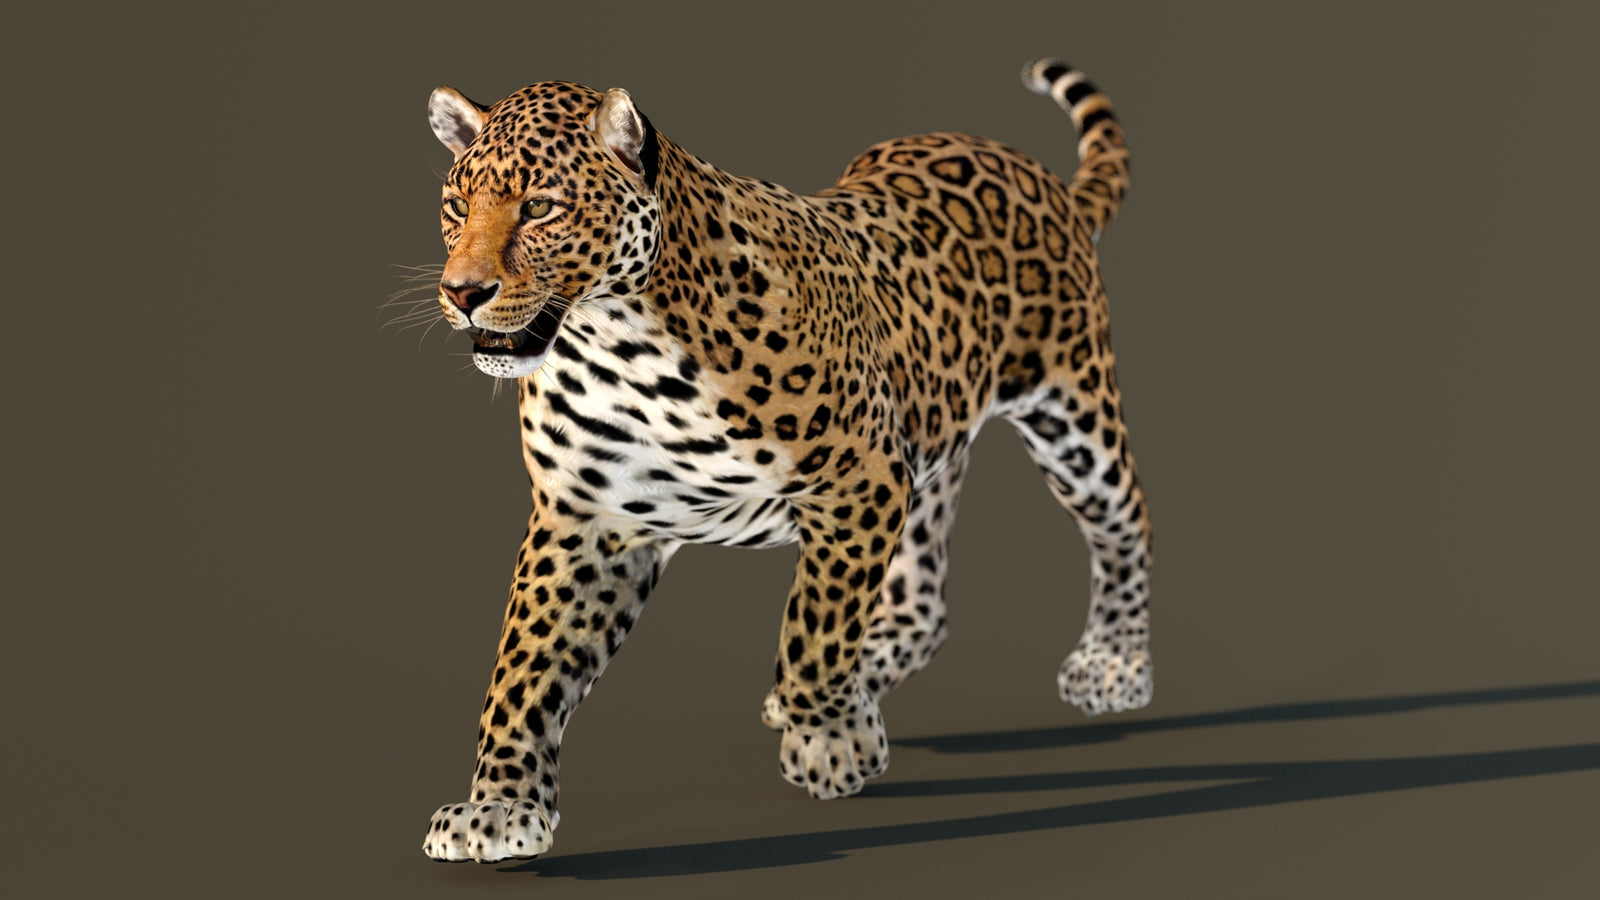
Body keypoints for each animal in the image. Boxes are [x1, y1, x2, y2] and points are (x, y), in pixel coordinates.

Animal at [416, 57, 1154, 863]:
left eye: (542, 206)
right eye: (456, 206)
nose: (462, 292)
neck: (618, 343)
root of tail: (1035, 172)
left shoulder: (857, 483)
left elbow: (814, 629)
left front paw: (831, 742)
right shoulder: (586, 518)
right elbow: (525, 669)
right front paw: (500, 806)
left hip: (1071, 414)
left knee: (1126, 525)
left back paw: (1114, 665)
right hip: (928, 436)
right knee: (923, 597)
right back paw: (876, 667)